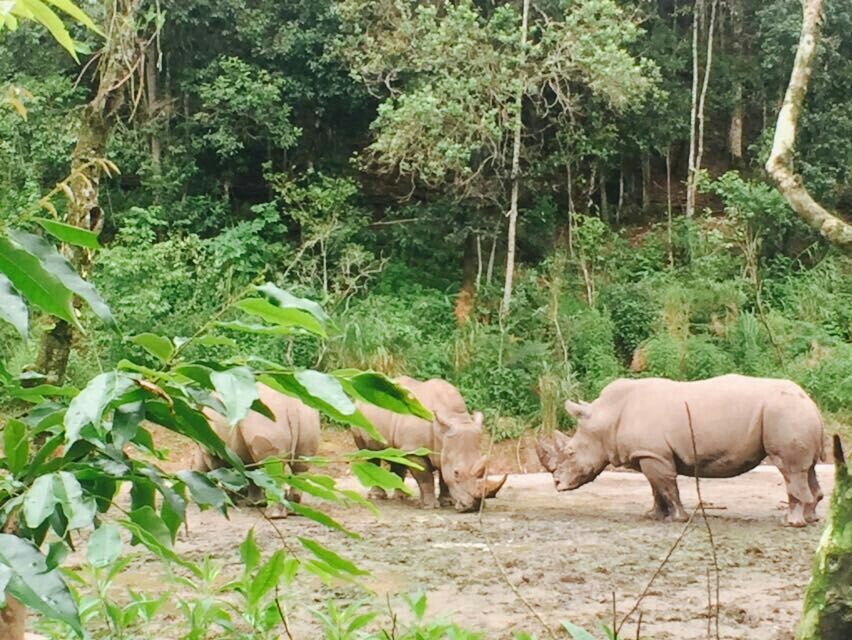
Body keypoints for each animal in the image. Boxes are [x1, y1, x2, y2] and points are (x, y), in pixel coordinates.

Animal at [192, 382, 320, 508]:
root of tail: (291, 406)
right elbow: (251, 473)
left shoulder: (213, 450)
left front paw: (230, 502)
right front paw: (255, 503)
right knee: (301, 464)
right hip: (307, 416)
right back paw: (293, 504)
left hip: (266, 419)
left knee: (272, 466)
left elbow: (223, 472)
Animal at [352, 378, 506, 512]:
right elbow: (425, 478)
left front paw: (447, 502)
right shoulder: (414, 450)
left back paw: (402, 497)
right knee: (371, 453)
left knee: (399, 457)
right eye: (456, 472)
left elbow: (444, 477)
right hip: (359, 416)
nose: (475, 506)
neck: (452, 417)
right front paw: (430, 506)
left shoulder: (444, 449)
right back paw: (377, 497)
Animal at [540, 372, 824, 528]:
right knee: (807, 469)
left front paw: (677, 519)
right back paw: (810, 519)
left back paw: (790, 523)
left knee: (789, 470)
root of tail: (811, 402)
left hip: (784, 413)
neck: (605, 418)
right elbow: (655, 489)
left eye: (570, 453)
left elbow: (667, 486)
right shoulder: (648, 454)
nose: (556, 484)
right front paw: (652, 516)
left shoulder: (654, 454)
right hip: (793, 412)